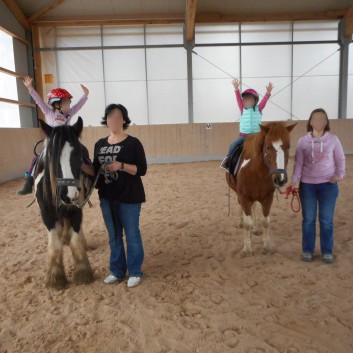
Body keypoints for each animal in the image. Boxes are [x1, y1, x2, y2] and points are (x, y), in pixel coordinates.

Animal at [33, 117, 92, 288]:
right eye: (51, 155)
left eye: (79, 154)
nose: (68, 195)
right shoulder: (46, 214)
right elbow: (55, 244)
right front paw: (55, 277)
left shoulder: (76, 210)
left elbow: (76, 239)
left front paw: (82, 272)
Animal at [226, 122, 294, 254]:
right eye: (267, 147)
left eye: (288, 146)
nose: (280, 179)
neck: (257, 171)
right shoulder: (244, 196)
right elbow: (247, 223)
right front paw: (247, 249)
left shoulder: (267, 198)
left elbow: (266, 221)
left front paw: (267, 246)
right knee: (242, 207)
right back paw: (240, 222)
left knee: (254, 208)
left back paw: (256, 228)